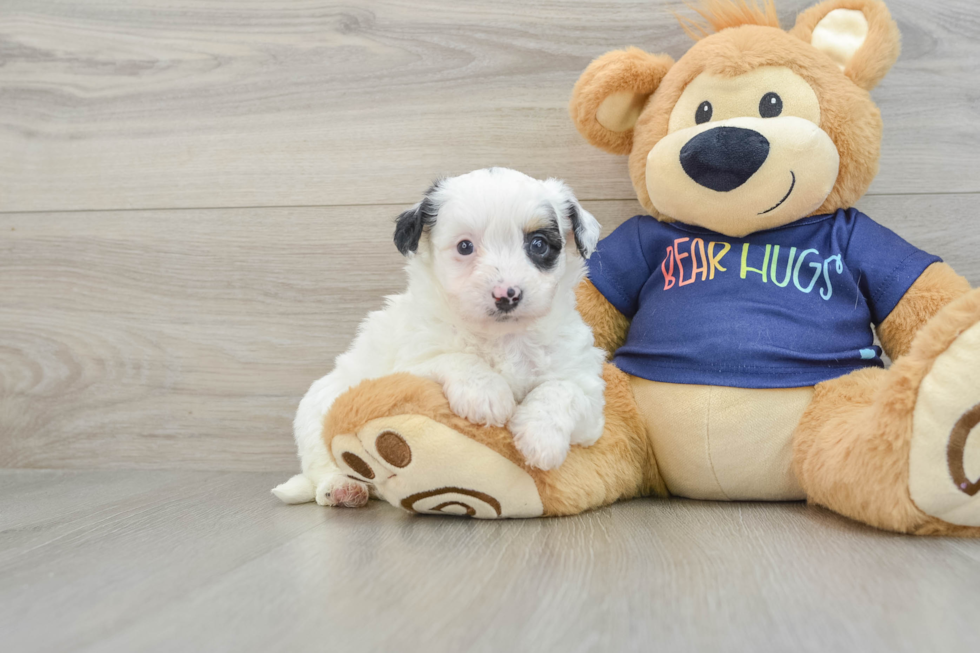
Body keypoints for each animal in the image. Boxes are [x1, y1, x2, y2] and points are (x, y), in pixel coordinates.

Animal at [274, 167, 604, 504]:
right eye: (464, 247)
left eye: (538, 245)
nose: (506, 294)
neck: (501, 337)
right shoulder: (409, 363)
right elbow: (452, 357)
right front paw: (486, 393)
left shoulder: (588, 397)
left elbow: (561, 390)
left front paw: (541, 438)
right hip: (319, 409)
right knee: (322, 466)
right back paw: (342, 488)